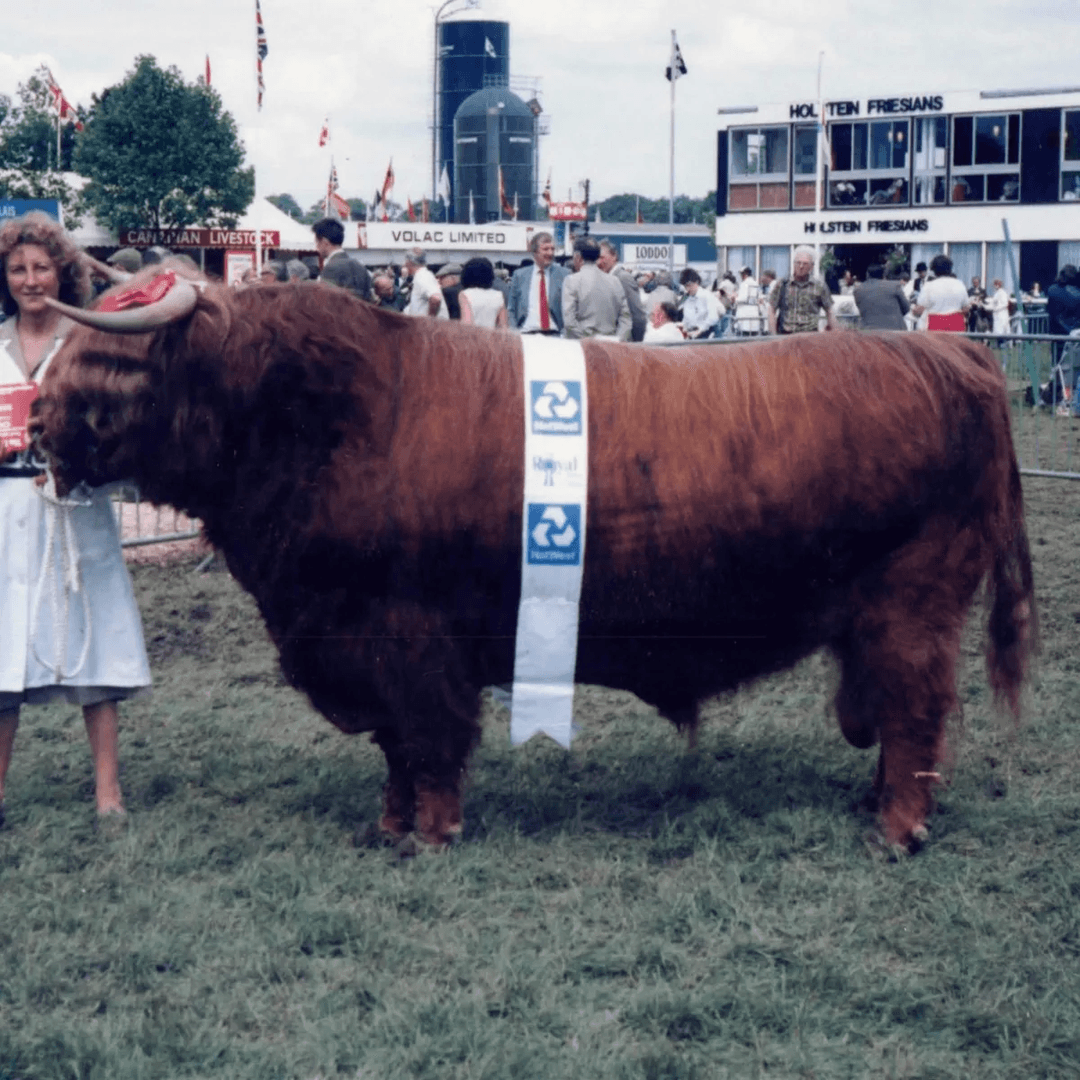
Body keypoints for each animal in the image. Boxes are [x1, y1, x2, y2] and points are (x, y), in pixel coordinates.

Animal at [34, 264, 1036, 853]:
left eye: (120, 362)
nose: (37, 424)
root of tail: (963, 362)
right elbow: (397, 751)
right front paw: (388, 827)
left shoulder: (406, 634)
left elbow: (429, 741)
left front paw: (431, 834)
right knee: (899, 724)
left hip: (912, 609)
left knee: (916, 716)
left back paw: (896, 831)